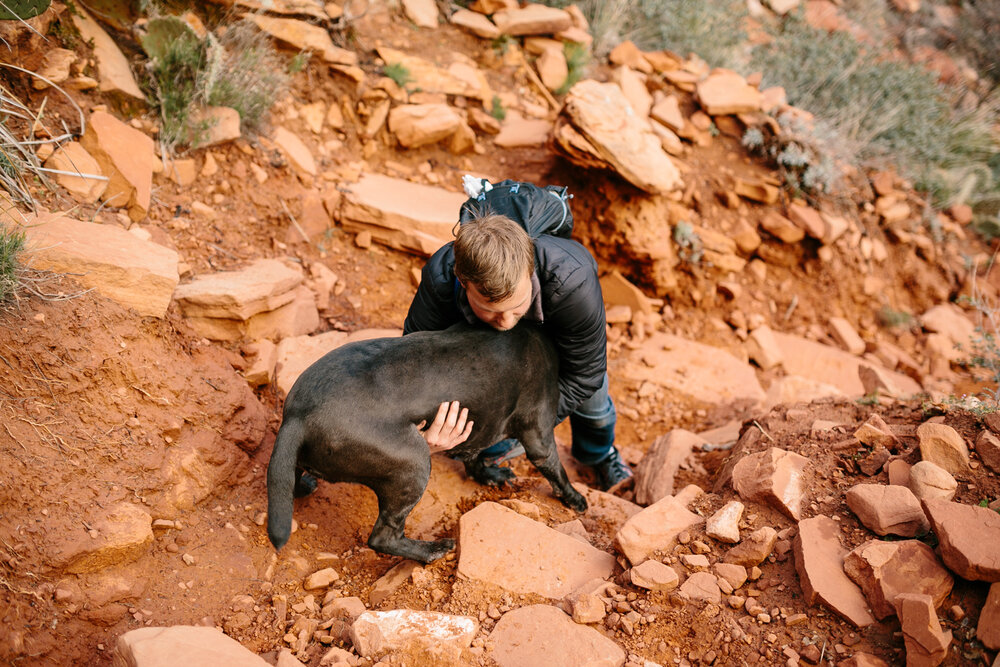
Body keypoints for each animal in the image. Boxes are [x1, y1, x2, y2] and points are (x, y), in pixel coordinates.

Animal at [270, 324, 588, 564]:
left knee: (291, 482)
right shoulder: (539, 436)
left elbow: (474, 458)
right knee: (384, 537)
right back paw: (434, 550)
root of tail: (299, 417)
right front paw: (576, 500)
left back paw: (306, 485)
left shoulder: (477, 430)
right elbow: (558, 473)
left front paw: (491, 475)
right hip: (413, 464)